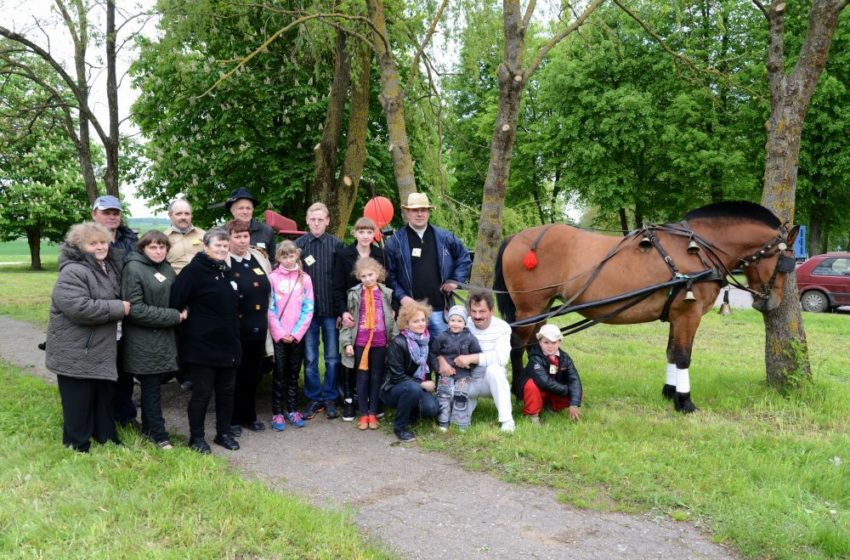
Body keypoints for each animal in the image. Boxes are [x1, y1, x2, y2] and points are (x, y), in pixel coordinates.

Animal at [494, 201, 800, 412]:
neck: (697, 248)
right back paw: (519, 390)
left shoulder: (677, 315)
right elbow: (684, 356)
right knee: (517, 347)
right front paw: (685, 402)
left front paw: (669, 392)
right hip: (530, 307)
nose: (771, 301)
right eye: (784, 262)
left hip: (543, 306)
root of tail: (515, 237)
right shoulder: (689, 314)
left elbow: (672, 353)